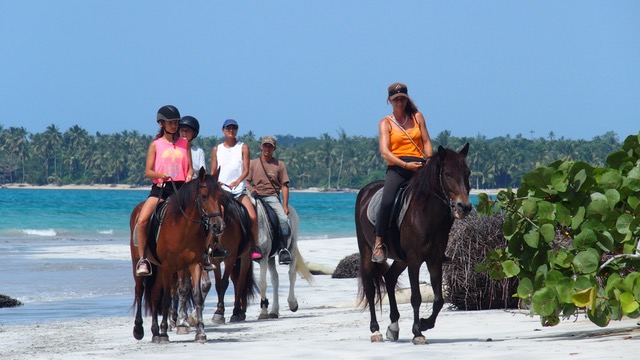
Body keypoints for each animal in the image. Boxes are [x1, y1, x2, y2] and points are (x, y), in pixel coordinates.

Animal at [129, 169, 224, 344]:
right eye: (204, 196)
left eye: (220, 196)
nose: (218, 225)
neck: (184, 227)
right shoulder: (169, 266)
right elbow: (167, 298)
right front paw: (164, 332)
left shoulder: (194, 264)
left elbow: (196, 296)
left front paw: (200, 332)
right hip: (140, 264)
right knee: (139, 291)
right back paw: (139, 329)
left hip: (159, 269)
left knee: (153, 295)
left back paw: (154, 332)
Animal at [356, 142, 470, 344]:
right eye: (448, 174)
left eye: (468, 173)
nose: (464, 207)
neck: (426, 213)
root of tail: (365, 190)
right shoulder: (415, 260)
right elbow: (416, 296)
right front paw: (417, 331)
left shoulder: (434, 260)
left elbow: (439, 299)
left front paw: (424, 324)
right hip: (367, 252)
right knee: (370, 287)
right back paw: (375, 330)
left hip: (402, 259)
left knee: (390, 278)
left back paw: (393, 327)